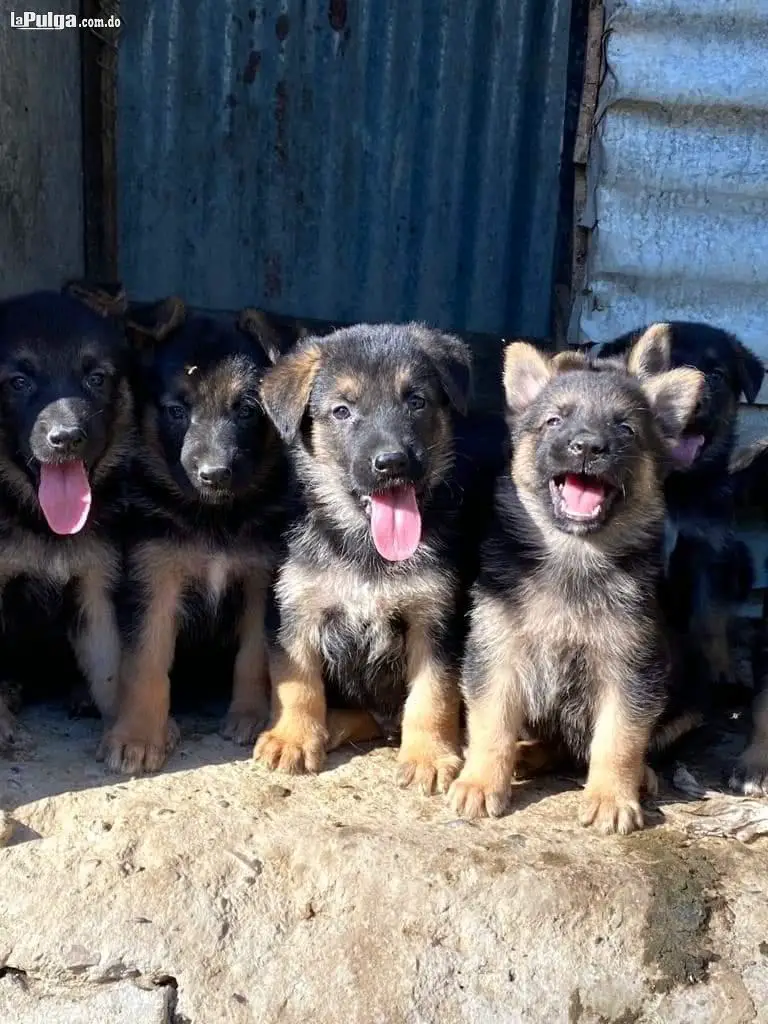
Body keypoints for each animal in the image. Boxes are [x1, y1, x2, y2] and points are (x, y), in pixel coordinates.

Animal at [0, 288, 134, 737]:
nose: (67, 438)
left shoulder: (95, 586)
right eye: (19, 382)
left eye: (96, 378)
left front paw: (129, 730)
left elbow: (111, 667)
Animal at [96, 299, 288, 770]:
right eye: (176, 411)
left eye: (247, 410)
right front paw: (138, 737)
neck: (212, 517)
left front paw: (249, 715)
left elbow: (253, 655)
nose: (214, 475)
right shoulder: (153, 579)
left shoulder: (259, 580)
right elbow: (145, 662)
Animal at [250, 319, 493, 790]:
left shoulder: (435, 623)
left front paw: (429, 755)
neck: (366, 550)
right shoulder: (294, 611)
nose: (393, 463)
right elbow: (297, 682)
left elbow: (433, 695)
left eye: (416, 401)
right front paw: (292, 737)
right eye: (342, 411)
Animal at [448, 331, 708, 835]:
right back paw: (525, 756)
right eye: (554, 421)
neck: (574, 558)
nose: (587, 447)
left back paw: (640, 776)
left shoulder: (631, 673)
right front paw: (481, 781)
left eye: (625, 429)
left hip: (685, 701)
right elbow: (491, 725)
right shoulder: (497, 656)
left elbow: (620, 739)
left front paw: (611, 796)